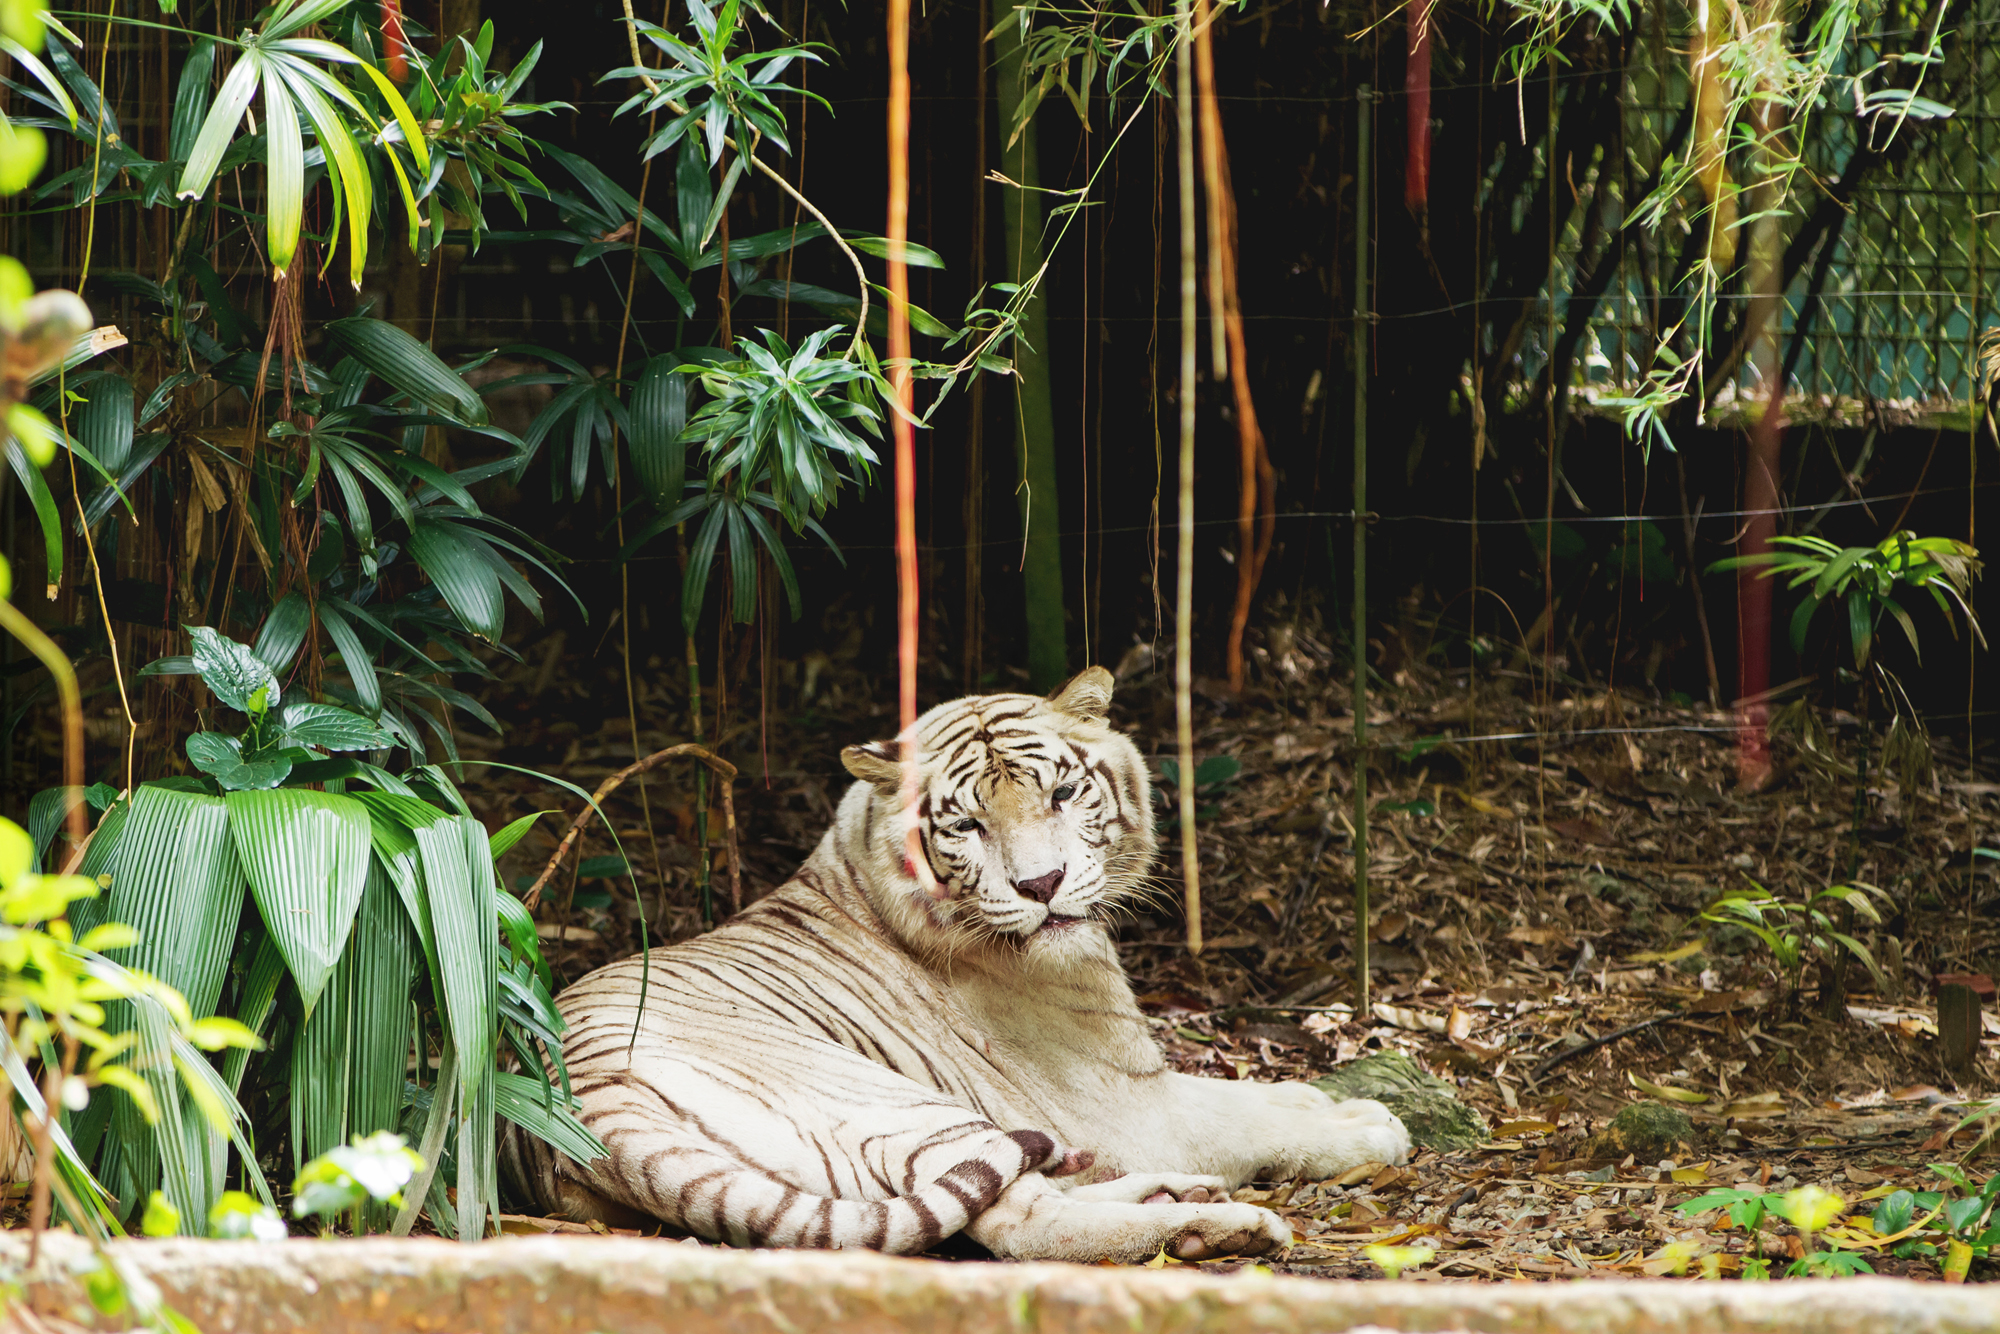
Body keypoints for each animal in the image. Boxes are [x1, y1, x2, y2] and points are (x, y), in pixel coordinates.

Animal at [516, 668, 1424, 1264]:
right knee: (1022, 1228)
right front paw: (1367, 1123)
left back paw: (1184, 1199)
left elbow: (1255, 1093)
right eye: (968, 825)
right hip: (898, 1104)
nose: (1042, 885)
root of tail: (582, 1103)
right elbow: (1242, 1116)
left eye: (1062, 794)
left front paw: (1323, 1097)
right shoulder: (1126, 1100)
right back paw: (1218, 1226)